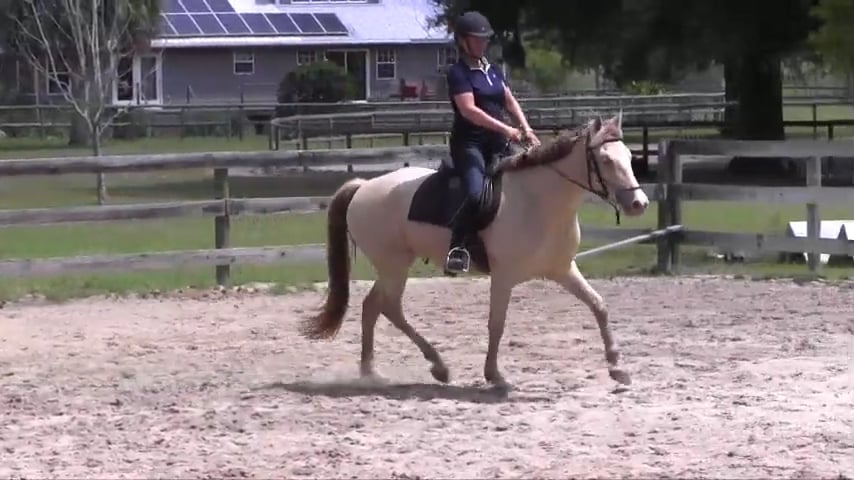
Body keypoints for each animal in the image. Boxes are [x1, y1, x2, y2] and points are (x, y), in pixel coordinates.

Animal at [298, 113, 650, 391]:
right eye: (606, 160)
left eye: (629, 155)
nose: (639, 203)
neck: (537, 200)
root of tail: (362, 187)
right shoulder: (504, 277)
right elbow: (497, 323)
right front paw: (496, 376)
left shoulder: (563, 269)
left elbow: (599, 306)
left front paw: (618, 368)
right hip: (393, 265)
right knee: (388, 307)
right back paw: (434, 367)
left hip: (393, 266)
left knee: (373, 306)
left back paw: (375, 371)